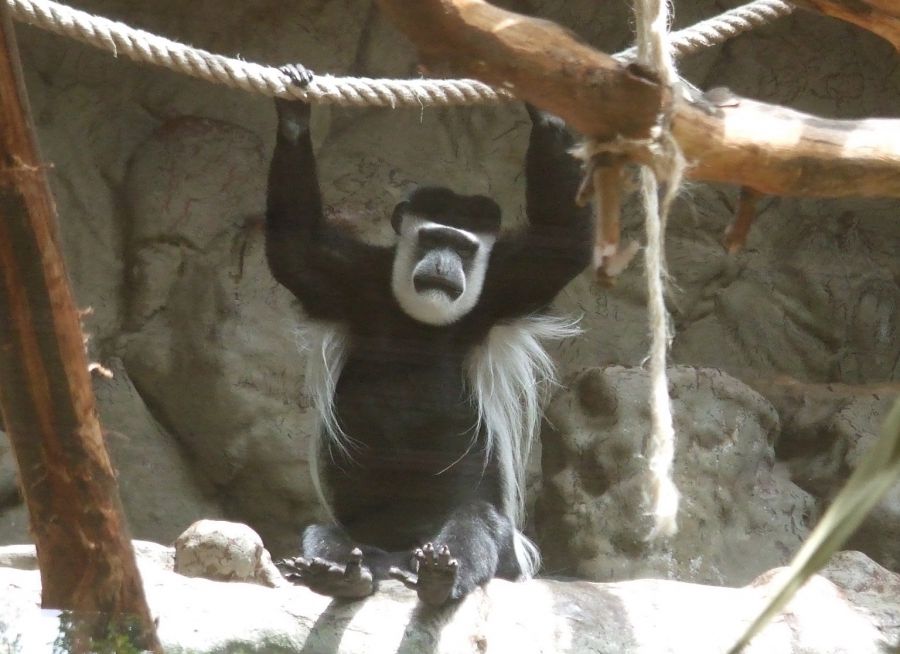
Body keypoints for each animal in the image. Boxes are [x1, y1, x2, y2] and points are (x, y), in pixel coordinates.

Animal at [268, 64, 592, 608]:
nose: (442, 265)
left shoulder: (506, 285)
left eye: (462, 249)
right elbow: (295, 248)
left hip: (496, 546)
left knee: (475, 523)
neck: (422, 322)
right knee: (324, 535)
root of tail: (401, 558)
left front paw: (544, 108)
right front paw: (294, 108)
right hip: (363, 540)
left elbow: (563, 241)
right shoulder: (352, 279)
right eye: (431, 238)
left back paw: (441, 575)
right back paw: (342, 574)